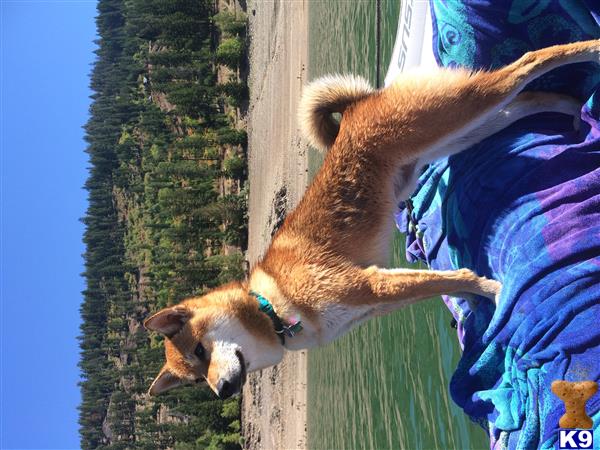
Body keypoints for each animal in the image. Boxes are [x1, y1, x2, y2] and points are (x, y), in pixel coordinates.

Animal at [144, 38, 600, 398]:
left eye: (200, 352)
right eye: (193, 380)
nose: (221, 391)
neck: (271, 304)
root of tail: (355, 107)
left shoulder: (365, 284)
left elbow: (460, 279)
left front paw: (497, 291)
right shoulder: (378, 295)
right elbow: (444, 283)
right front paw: (480, 295)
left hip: (456, 112)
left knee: (530, 61)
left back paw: (589, 51)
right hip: (459, 130)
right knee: (528, 101)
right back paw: (572, 109)